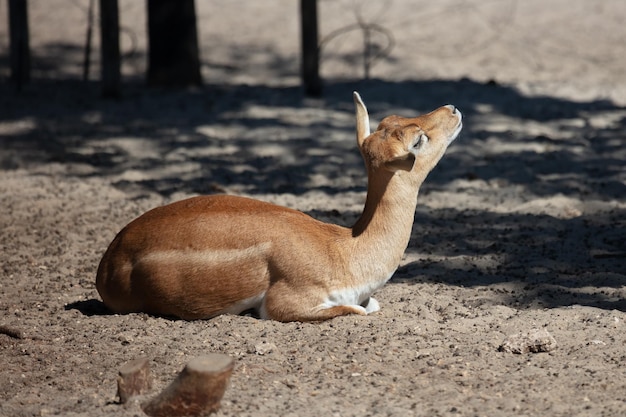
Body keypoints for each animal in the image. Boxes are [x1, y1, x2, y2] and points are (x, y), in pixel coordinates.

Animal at [95, 93, 460, 322]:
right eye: (418, 140)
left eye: (393, 118)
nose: (453, 109)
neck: (343, 250)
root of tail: (108, 262)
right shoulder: (284, 304)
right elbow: (357, 311)